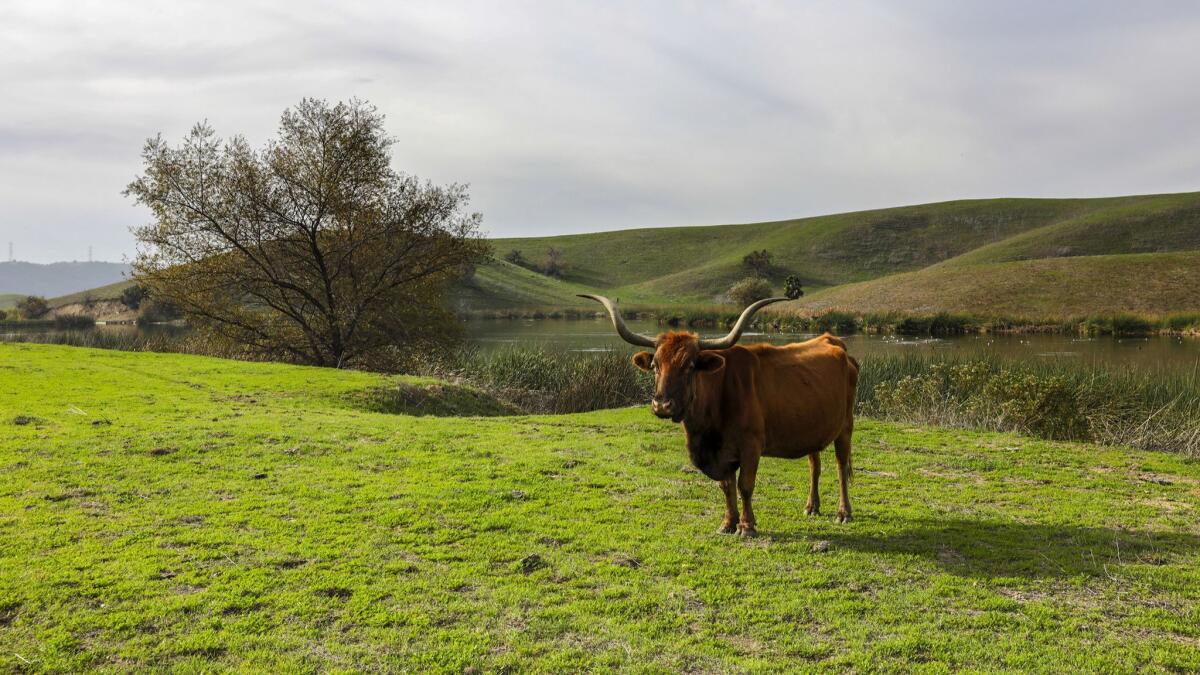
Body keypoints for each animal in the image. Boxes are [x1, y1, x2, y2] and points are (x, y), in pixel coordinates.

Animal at [583, 291, 859, 533]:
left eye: (690, 366)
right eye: (655, 365)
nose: (662, 405)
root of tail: (833, 341)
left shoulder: (751, 446)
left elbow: (745, 486)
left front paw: (747, 526)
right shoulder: (721, 454)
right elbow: (727, 487)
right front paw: (728, 523)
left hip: (845, 427)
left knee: (840, 467)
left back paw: (844, 512)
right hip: (814, 427)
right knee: (815, 465)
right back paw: (812, 507)